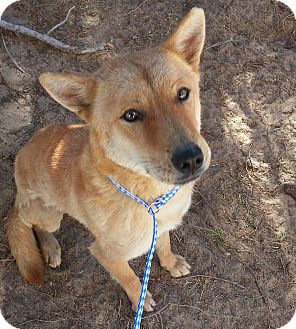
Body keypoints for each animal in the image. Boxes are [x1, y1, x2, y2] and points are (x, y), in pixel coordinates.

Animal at [6, 7, 210, 310]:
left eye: (183, 93)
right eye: (131, 115)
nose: (191, 159)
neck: (148, 195)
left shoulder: (161, 226)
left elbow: (163, 242)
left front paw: (170, 262)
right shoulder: (106, 254)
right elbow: (129, 278)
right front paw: (139, 299)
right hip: (49, 214)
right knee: (30, 222)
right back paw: (50, 246)